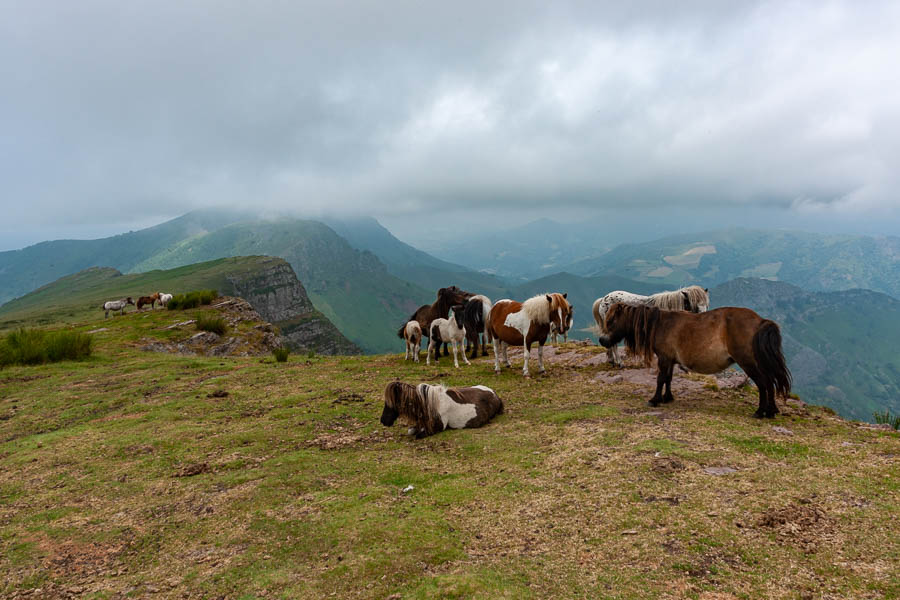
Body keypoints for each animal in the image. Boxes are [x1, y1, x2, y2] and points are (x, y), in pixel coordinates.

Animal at [600, 302, 792, 420]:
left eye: (611, 321)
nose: (602, 340)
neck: (661, 324)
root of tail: (760, 321)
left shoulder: (664, 358)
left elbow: (660, 379)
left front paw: (654, 400)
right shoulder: (670, 360)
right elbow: (668, 379)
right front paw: (667, 398)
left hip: (748, 363)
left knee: (763, 383)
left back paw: (760, 412)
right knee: (769, 383)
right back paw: (771, 411)